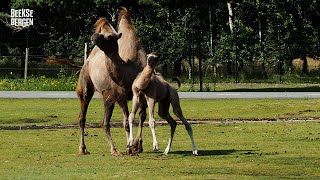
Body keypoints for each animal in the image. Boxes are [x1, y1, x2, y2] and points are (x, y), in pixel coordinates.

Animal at [77, 8, 147, 155]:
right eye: (102, 33)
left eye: (110, 36)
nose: (94, 36)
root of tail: (88, 61)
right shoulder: (120, 97)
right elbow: (126, 122)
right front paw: (129, 147)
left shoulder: (143, 93)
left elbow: (141, 117)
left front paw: (137, 146)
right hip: (87, 85)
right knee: (85, 117)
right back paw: (86, 148)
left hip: (107, 96)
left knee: (104, 121)